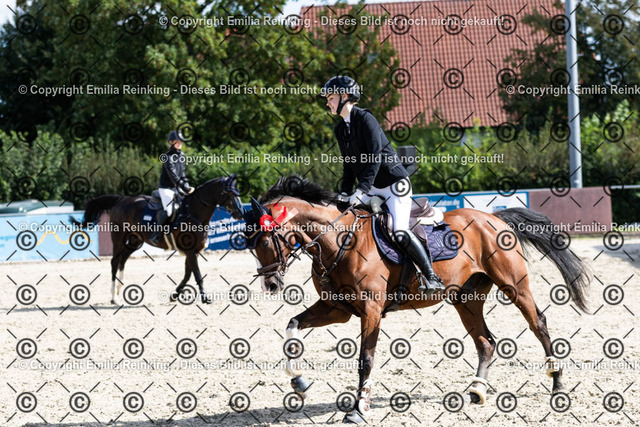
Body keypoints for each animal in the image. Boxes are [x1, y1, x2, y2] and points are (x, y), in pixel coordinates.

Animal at [72, 175, 244, 304]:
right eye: (230, 194)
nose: (241, 212)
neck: (193, 214)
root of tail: (121, 199)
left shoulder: (192, 252)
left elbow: (188, 274)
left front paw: (175, 295)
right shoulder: (190, 251)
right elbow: (196, 274)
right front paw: (205, 297)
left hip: (135, 240)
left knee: (123, 260)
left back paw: (120, 292)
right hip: (119, 238)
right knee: (114, 261)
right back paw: (114, 297)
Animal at [244, 175, 590, 423]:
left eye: (266, 240)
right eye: (249, 244)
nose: (271, 284)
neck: (338, 240)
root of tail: (495, 219)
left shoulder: (370, 310)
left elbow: (365, 359)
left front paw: (357, 410)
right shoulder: (337, 308)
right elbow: (292, 327)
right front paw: (299, 382)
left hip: (514, 285)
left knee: (538, 323)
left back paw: (557, 384)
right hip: (466, 299)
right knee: (485, 342)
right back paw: (477, 390)